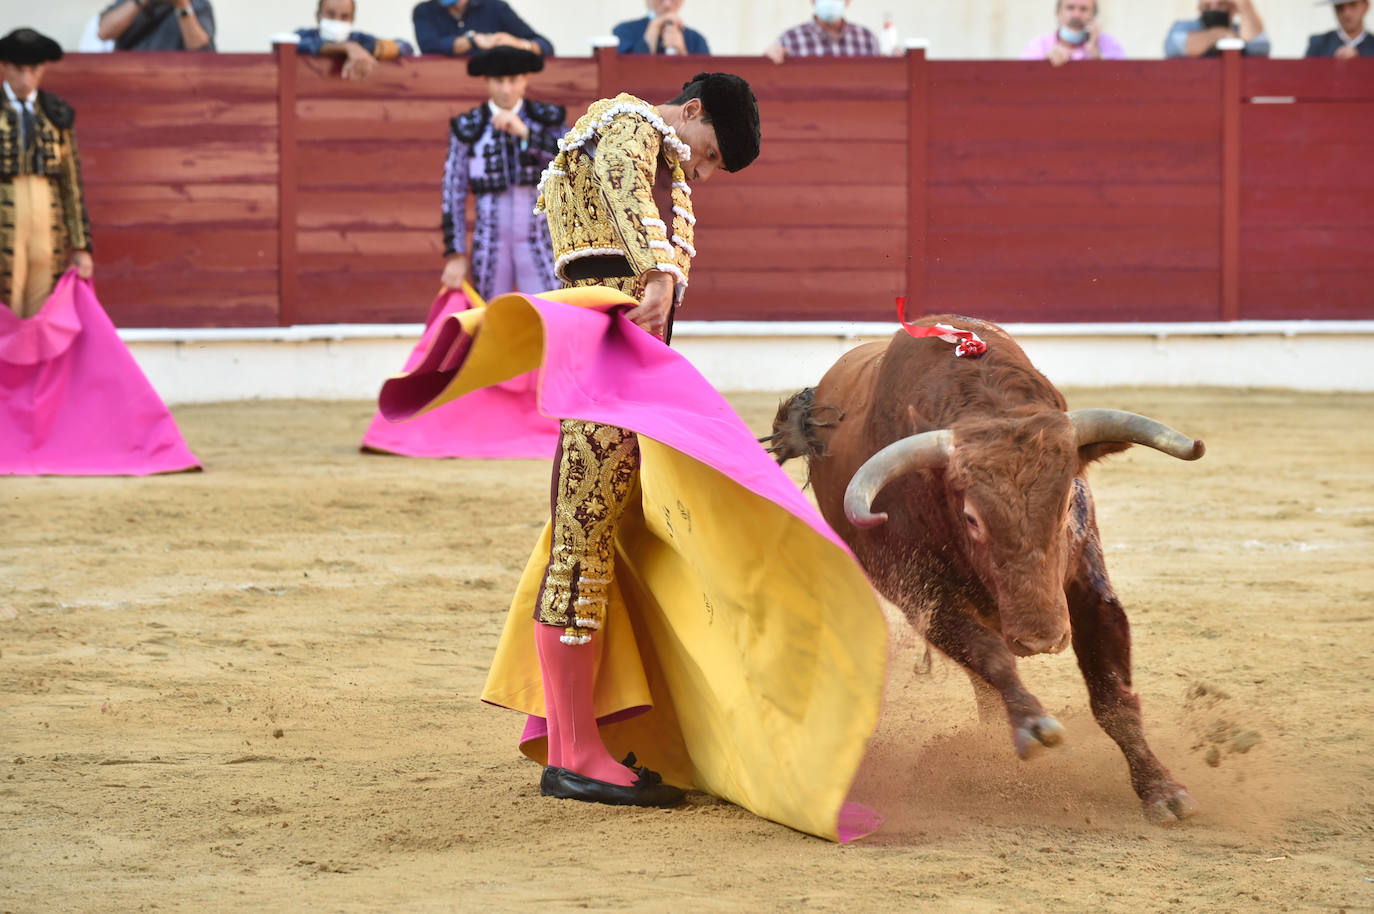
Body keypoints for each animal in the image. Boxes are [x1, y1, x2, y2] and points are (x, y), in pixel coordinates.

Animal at [769, 311, 1209, 819]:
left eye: (1067, 503)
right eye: (971, 518)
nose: (1040, 639)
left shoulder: (1085, 581)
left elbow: (1112, 692)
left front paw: (1162, 789)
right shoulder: (925, 599)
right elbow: (991, 656)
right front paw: (1032, 725)